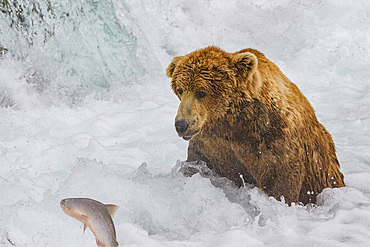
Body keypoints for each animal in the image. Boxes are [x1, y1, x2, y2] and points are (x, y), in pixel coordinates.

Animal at [166, 45, 346, 205]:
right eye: (180, 90)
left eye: (201, 92)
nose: (181, 124)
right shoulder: (211, 143)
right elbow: (197, 163)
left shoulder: (275, 140)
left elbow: (279, 181)